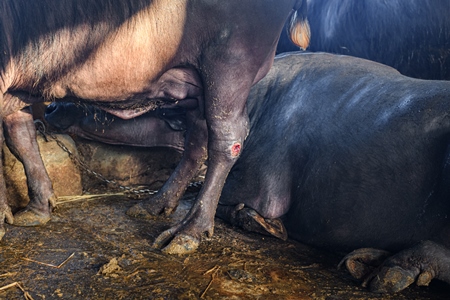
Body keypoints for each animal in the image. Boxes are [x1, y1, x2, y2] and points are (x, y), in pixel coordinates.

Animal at [0, 0, 310, 254]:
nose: (51, 108)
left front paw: (3, 218)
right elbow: (21, 140)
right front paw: (38, 207)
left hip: (229, 66)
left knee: (226, 139)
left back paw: (190, 230)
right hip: (196, 84)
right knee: (197, 140)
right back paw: (155, 204)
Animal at [46, 51, 450, 292]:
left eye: (100, 112)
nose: (51, 108)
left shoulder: (260, 188)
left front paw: (260, 223)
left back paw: (393, 270)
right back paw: (364, 261)